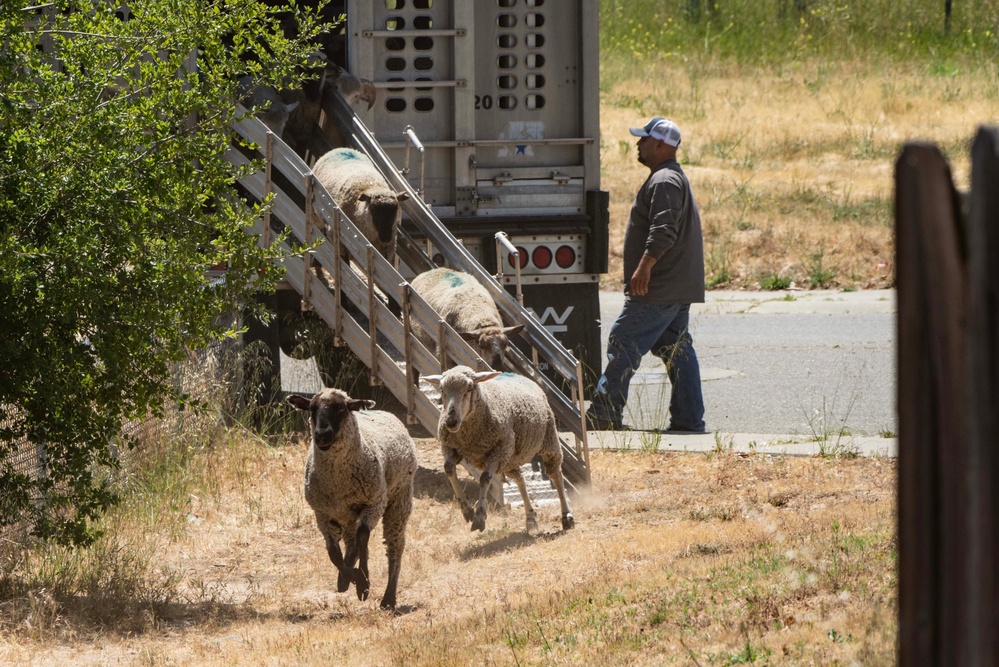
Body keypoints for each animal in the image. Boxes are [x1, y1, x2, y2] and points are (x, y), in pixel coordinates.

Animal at [290, 386, 418, 612]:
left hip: (398, 499)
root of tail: (386, 412)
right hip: (347, 513)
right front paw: (353, 578)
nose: (322, 435)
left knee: (393, 545)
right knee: (351, 542)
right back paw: (344, 579)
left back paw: (388, 599)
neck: (338, 483)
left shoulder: (374, 502)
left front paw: (363, 584)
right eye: (312, 409)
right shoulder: (322, 513)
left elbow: (363, 536)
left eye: (341, 408)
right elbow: (333, 552)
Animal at [424, 366, 580, 532]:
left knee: (556, 475)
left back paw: (567, 517)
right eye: (441, 389)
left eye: (470, 387)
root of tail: (517, 375)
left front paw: (480, 517)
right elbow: (448, 469)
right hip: (510, 458)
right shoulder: (451, 448)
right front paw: (467, 510)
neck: (469, 435)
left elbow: (485, 478)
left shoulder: (499, 450)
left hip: (547, 440)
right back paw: (530, 518)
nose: (451, 422)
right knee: (520, 479)